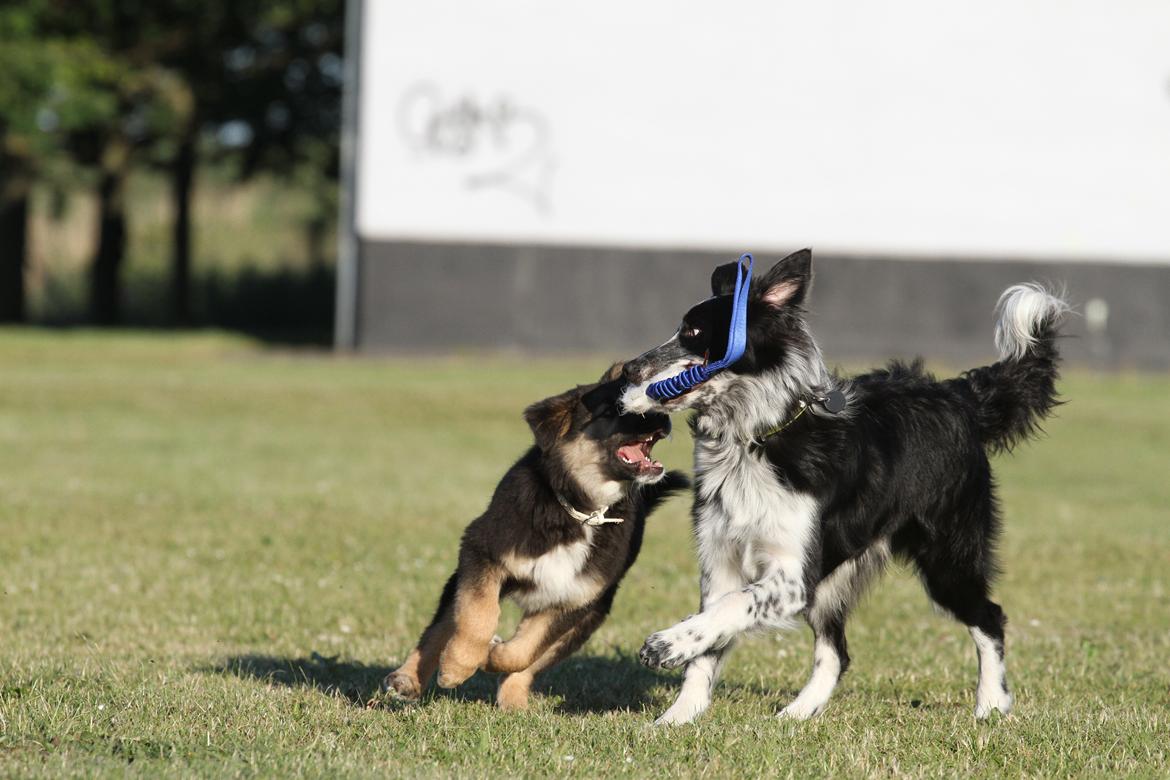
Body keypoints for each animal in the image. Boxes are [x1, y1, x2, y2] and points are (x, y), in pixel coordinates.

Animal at [383, 362, 683, 711]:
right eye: (610, 410)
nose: (661, 412)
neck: (579, 509)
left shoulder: (574, 597)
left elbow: (526, 649)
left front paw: (492, 655)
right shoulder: (481, 550)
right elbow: (478, 616)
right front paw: (458, 666)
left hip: (591, 616)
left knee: (536, 659)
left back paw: (513, 700)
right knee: (442, 624)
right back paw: (409, 678)